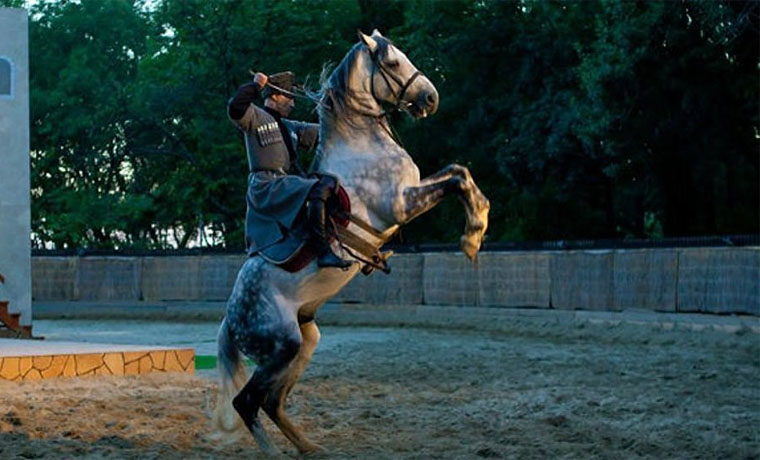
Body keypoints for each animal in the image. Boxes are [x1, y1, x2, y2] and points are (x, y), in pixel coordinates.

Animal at [214, 30, 490, 456]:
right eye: (392, 63)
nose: (430, 98)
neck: (362, 145)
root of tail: (230, 318)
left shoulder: (411, 191)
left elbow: (458, 171)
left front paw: (480, 223)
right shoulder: (401, 204)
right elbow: (456, 181)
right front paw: (473, 235)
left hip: (304, 341)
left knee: (272, 402)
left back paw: (311, 447)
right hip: (280, 346)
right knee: (247, 402)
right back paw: (275, 452)